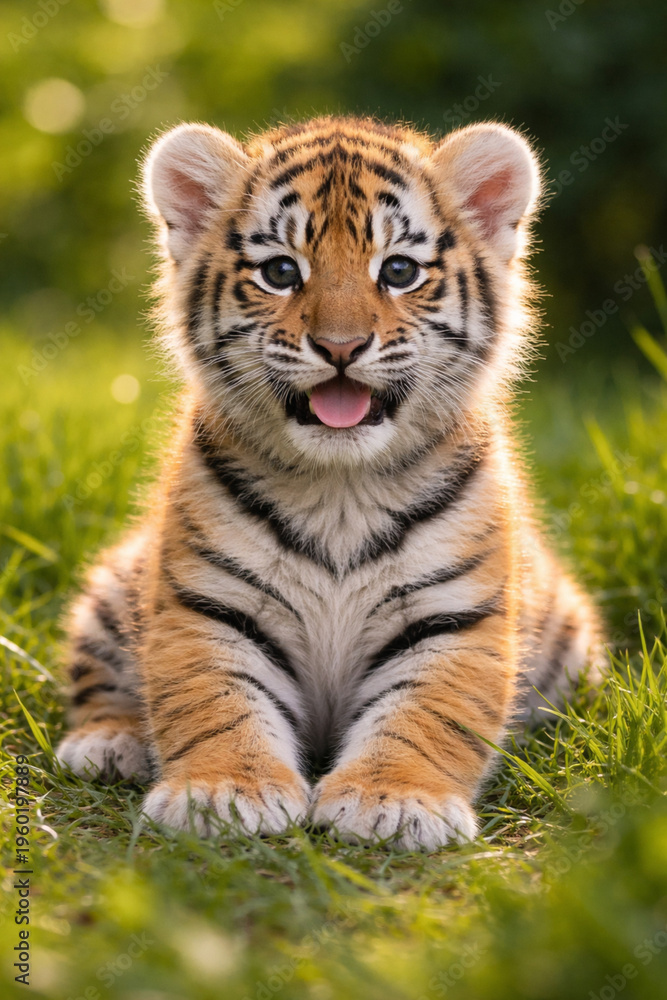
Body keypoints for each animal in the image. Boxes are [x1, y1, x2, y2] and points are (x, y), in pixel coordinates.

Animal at [55, 115, 603, 850]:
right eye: (280, 272)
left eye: (398, 271)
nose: (341, 347)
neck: (341, 488)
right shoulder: (208, 603)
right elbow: (215, 700)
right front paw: (223, 793)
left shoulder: (455, 615)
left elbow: (427, 714)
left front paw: (392, 801)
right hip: (117, 584)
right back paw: (108, 744)